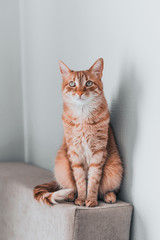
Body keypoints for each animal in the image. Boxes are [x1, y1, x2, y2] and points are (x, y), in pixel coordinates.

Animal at [33, 57, 122, 206]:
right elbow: (80, 181)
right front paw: (81, 198)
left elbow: (93, 181)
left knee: (107, 190)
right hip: (61, 165)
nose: (80, 93)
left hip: (115, 168)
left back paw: (109, 196)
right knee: (69, 186)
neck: (83, 116)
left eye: (89, 83)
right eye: (72, 84)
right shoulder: (74, 153)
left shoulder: (98, 153)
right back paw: (70, 195)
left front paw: (91, 200)